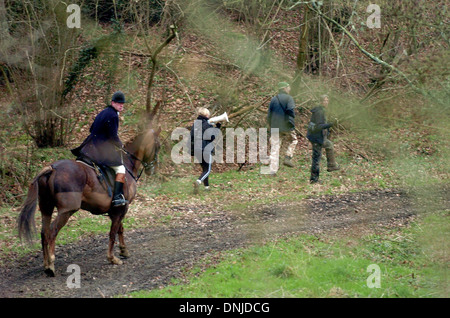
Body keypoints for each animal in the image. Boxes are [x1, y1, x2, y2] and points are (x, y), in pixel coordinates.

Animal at [18, 128, 162, 278]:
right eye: (158, 146)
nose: (153, 169)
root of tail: (52, 168)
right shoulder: (123, 208)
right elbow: (113, 233)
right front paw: (112, 258)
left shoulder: (117, 209)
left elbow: (119, 229)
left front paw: (123, 251)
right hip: (66, 211)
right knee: (52, 232)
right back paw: (51, 265)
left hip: (46, 208)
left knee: (44, 232)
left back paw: (46, 264)